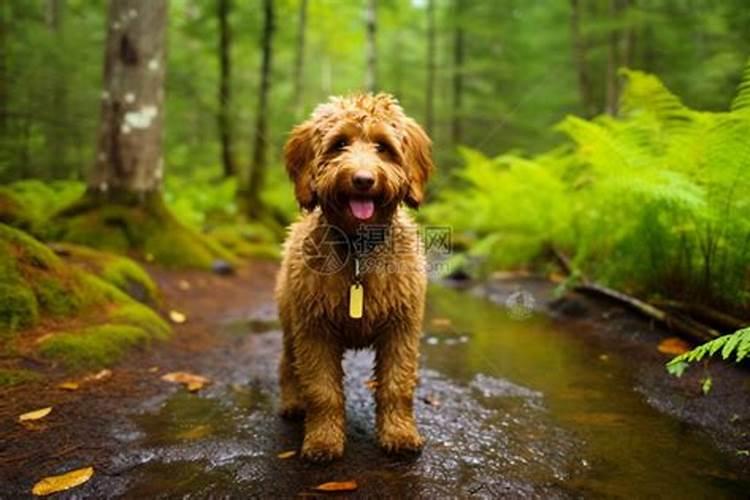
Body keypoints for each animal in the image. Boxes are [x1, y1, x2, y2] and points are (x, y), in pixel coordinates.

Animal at [276, 93, 434, 460]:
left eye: (383, 146)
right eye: (339, 144)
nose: (363, 179)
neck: (359, 250)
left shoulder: (401, 329)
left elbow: (396, 386)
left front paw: (399, 434)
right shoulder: (313, 330)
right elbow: (322, 390)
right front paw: (322, 441)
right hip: (290, 320)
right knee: (287, 362)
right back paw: (292, 402)